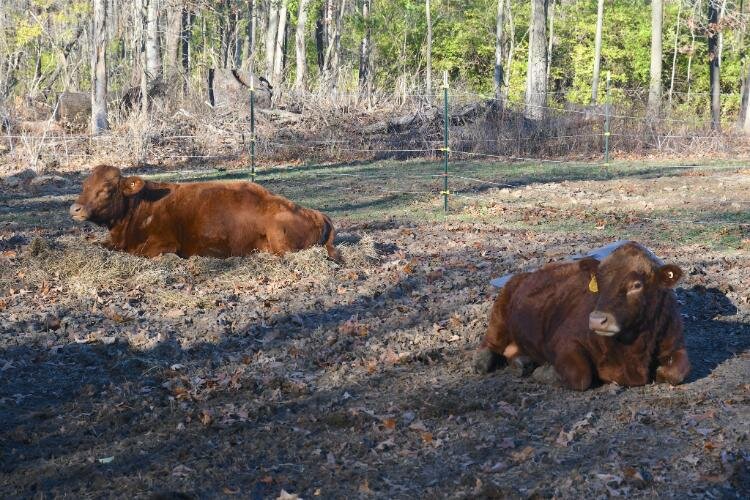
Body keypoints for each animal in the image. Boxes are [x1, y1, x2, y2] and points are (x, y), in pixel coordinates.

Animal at [70, 165, 340, 262]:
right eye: (84, 185)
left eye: (107, 189)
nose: (75, 208)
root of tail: (318, 214)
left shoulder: (162, 244)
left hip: (278, 238)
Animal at [476, 242, 692, 390]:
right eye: (599, 281)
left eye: (637, 285)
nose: (597, 320)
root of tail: (525, 274)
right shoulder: (564, 340)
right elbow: (581, 375)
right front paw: (546, 371)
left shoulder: (675, 342)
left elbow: (677, 372)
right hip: (501, 313)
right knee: (490, 342)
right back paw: (483, 361)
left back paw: (521, 362)